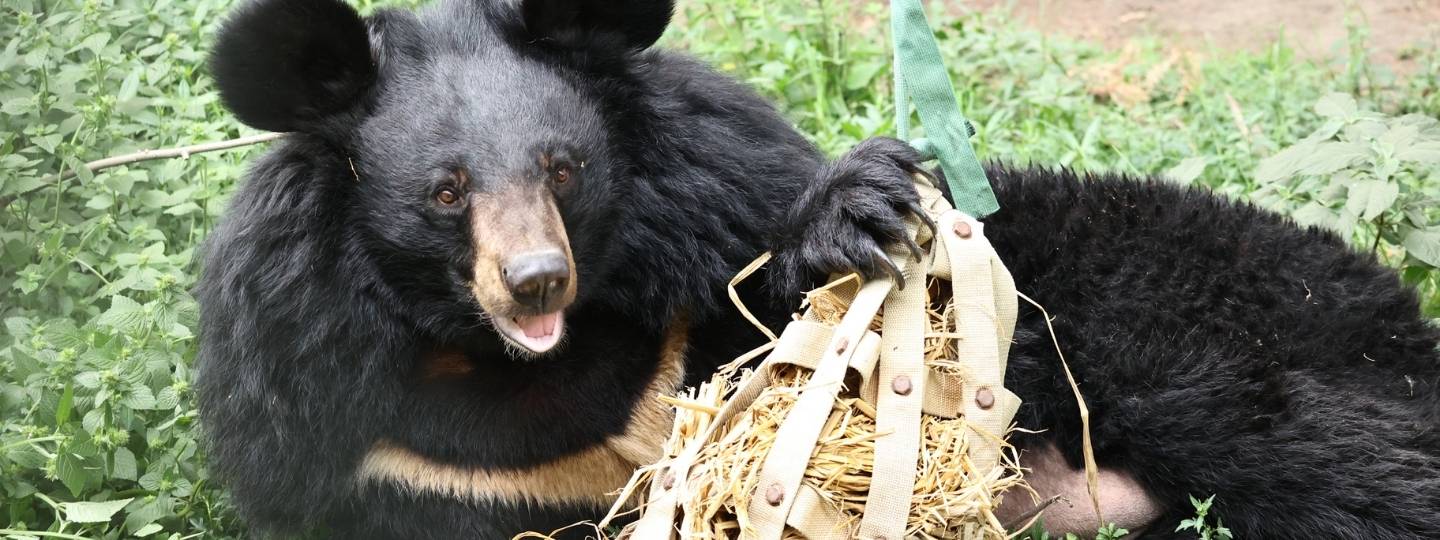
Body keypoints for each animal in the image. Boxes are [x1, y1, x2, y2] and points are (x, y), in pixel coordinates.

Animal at [194, 0, 1440, 539]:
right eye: (446, 191)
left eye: (562, 166)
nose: (535, 279)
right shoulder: (381, 446)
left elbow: (787, 310)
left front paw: (866, 210)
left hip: (1205, 340)